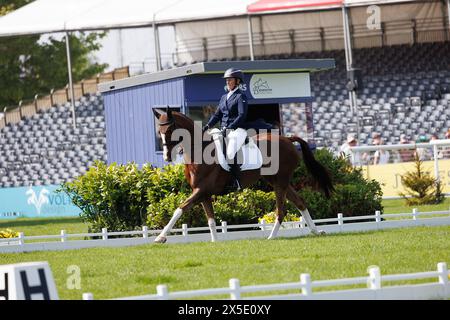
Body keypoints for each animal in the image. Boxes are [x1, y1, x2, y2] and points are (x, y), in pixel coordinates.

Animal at [153, 107, 332, 242]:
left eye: (170, 129)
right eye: (158, 131)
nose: (167, 157)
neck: (200, 151)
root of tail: (288, 139)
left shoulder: (201, 190)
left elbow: (180, 209)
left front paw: (160, 237)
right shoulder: (203, 193)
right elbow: (211, 220)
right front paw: (215, 242)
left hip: (281, 181)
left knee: (281, 211)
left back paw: (271, 237)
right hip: (277, 181)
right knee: (300, 202)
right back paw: (316, 232)